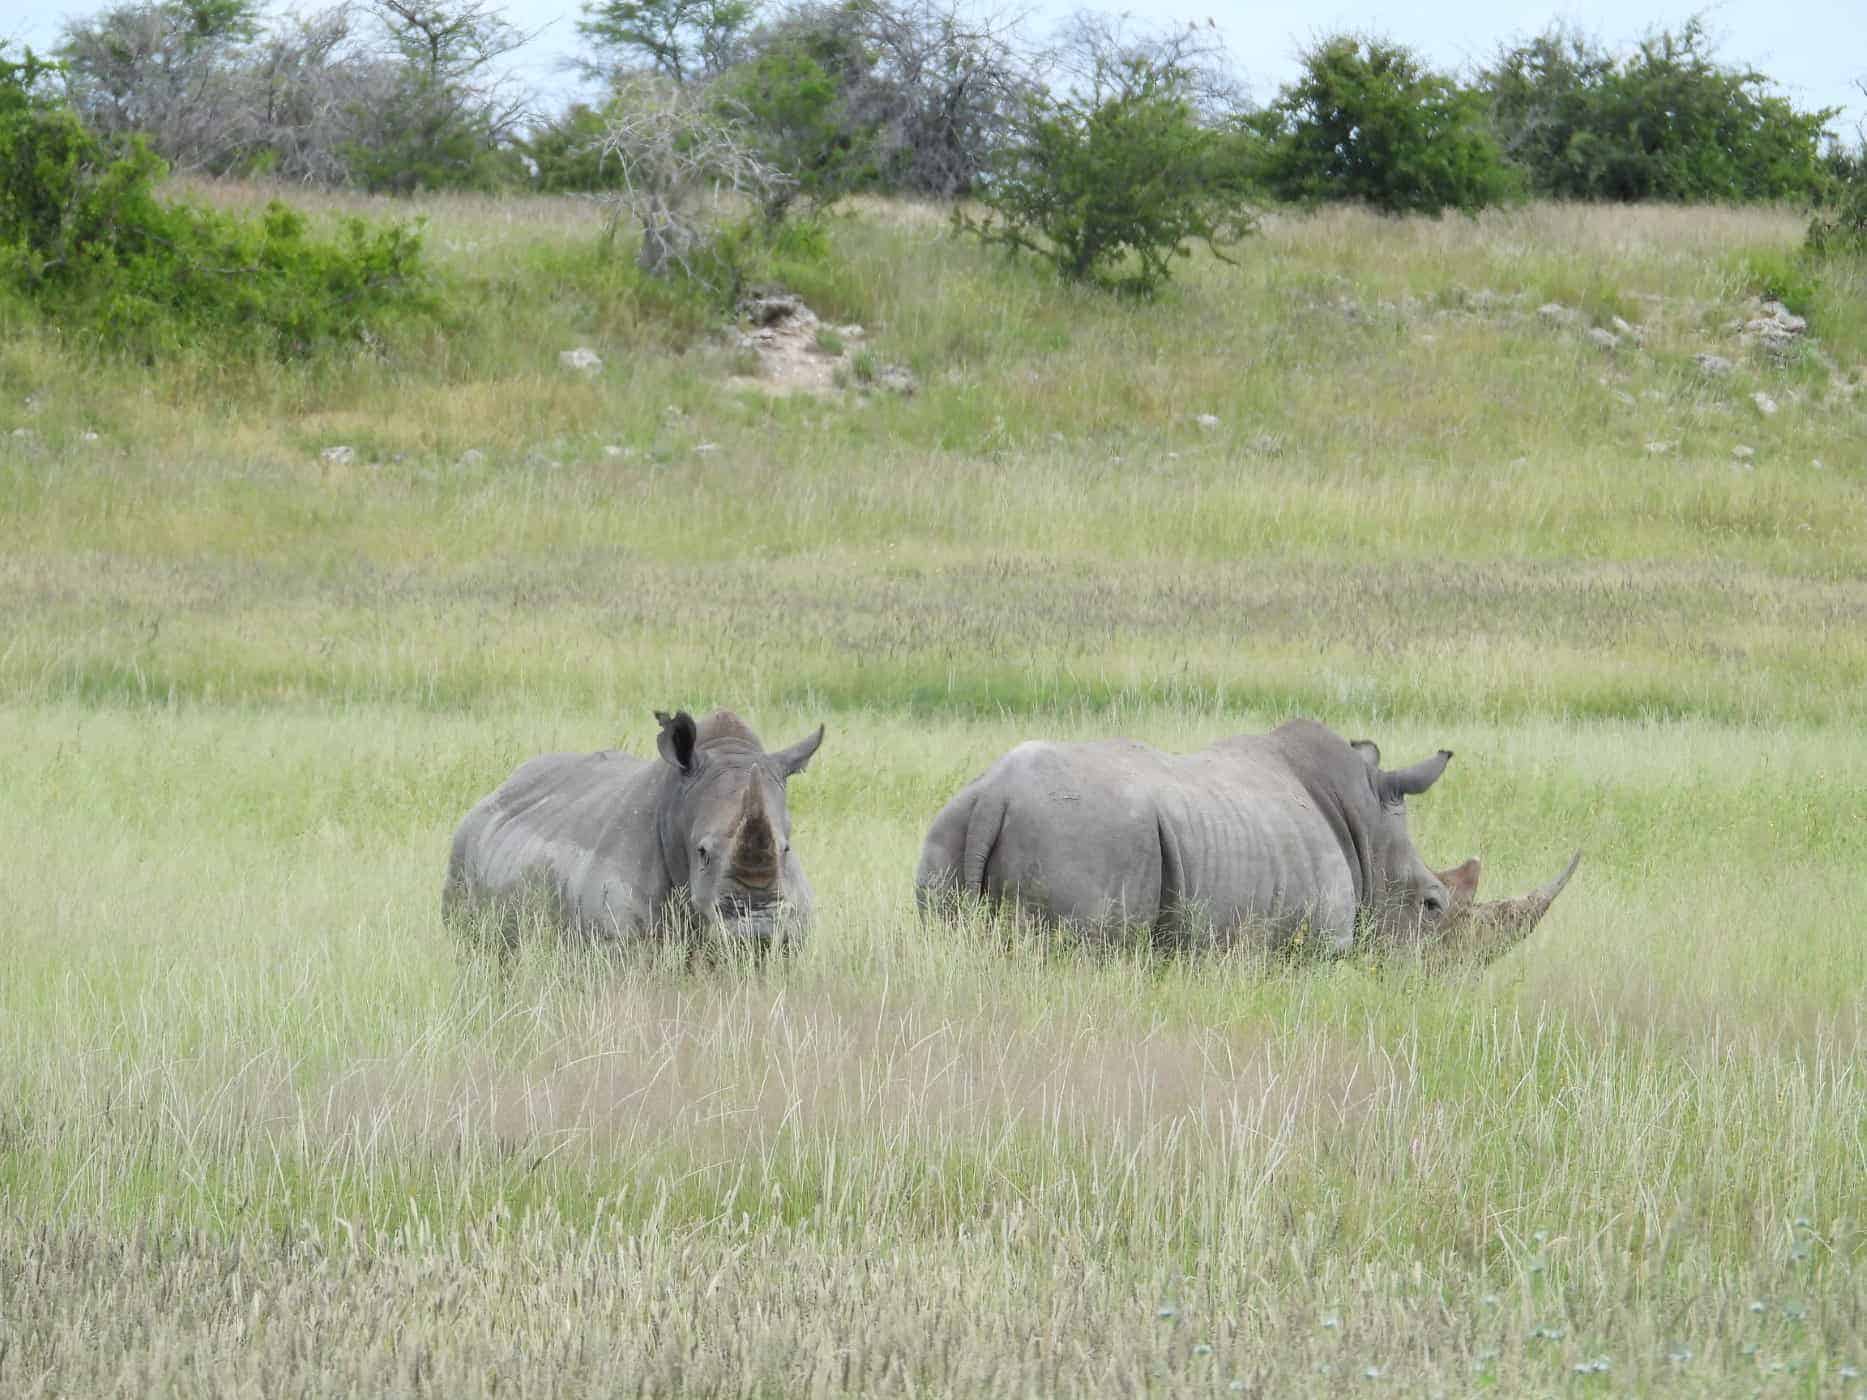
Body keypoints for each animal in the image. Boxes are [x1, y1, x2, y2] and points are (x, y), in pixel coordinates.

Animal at [914, 724, 1575, 963]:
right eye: (1433, 905)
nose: (1448, 981)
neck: (1366, 827)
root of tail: (996, 793)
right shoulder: (1320, 945)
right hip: (1085, 838)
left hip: (949, 824)